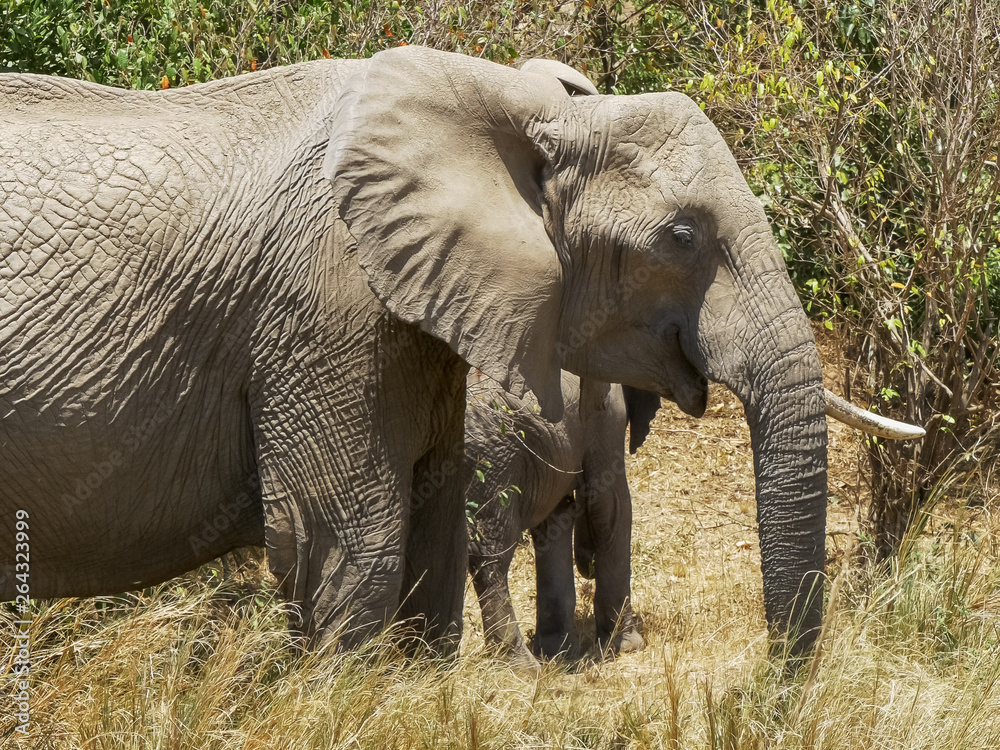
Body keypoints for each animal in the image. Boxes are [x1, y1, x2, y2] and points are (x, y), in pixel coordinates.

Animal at [465, 370, 661, 666]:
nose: (588, 565)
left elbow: (556, 518)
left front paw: (557, 651)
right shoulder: (607, 414)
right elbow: (610, 506)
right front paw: (627, 645)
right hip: (492, 459)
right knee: (490, 555)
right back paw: (521, 667)